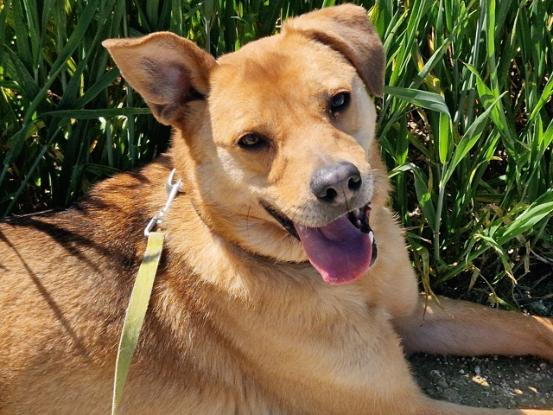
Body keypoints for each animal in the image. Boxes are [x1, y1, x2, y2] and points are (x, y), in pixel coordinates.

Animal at [1, 5, 552, 414]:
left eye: (339, 100)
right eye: (251, 141)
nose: (339, 184)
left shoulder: (416, 316)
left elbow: (530, 324)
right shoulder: (404, 406)